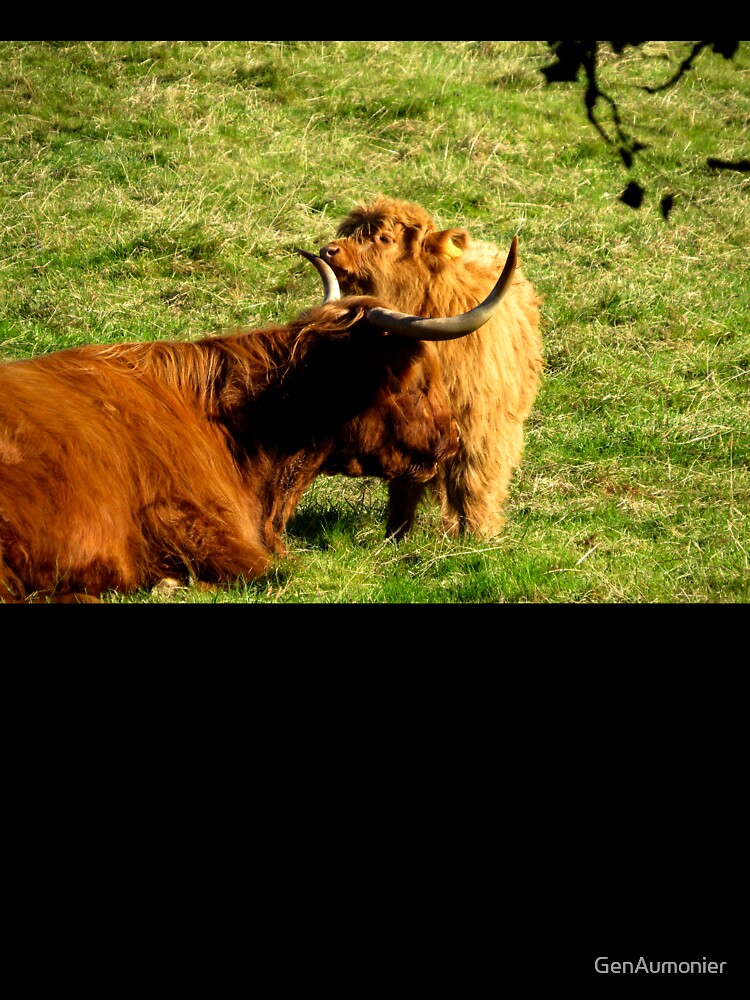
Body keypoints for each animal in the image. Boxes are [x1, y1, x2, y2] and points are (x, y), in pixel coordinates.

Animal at [303, 196, 543, 540]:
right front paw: (396, 535)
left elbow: (473, 482)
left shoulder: (480, 427)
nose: (329, 250)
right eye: (350, 232)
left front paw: (479, 535)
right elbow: (404, 483)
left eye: (384, 238)